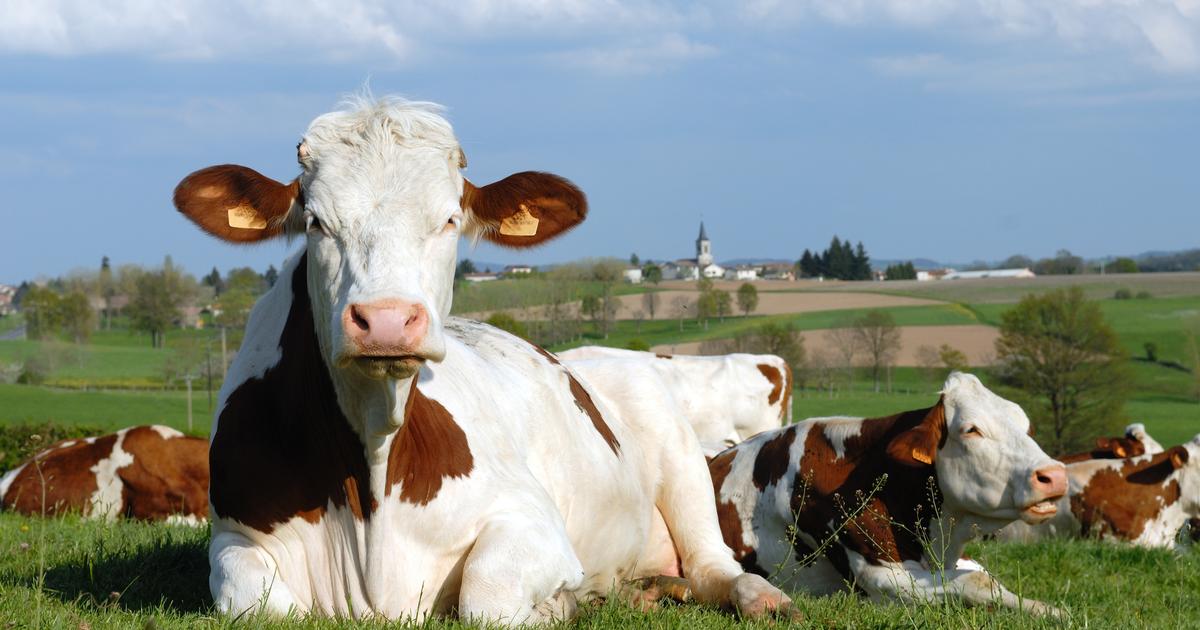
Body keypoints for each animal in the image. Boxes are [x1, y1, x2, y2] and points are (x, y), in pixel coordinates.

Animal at [705, 372, 1067, 614]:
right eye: (971, 429)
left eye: (1026, 427)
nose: (1055, 476)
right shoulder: (881, 578)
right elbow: (978, 582)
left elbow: (991, 580)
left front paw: (1053, 612)